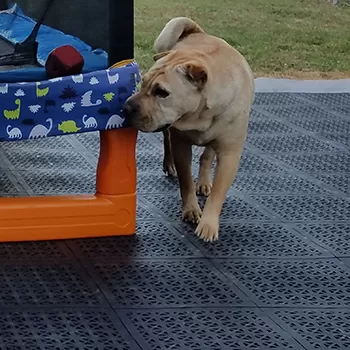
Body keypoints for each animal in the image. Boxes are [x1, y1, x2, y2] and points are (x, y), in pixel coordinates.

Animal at [123, 17, 254, 242]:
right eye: (143, 82)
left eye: (162, 92)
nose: (126, 108)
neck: (198, 115)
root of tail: (197, 32)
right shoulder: (181, 144)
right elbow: (185, 182)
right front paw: (191, 209)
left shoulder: (229, 154)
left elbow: (219, 190)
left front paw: (208, 224)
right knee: (167, 140)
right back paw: (169, 164)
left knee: (207, 156)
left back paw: (203, 182)